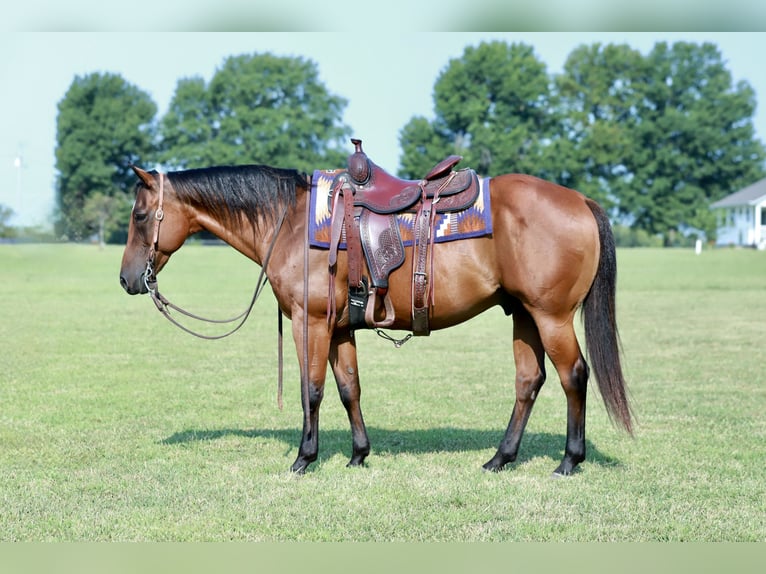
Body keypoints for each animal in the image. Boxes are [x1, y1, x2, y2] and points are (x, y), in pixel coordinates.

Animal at [119, 158, 633, 477]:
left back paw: (569, 461)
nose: (127, 279)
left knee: (574, 376)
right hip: (524, 314)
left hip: (551, 316)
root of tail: (580, 201)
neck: (291, 221)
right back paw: (500, 459)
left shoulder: (312, 322)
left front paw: (304, 458)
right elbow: (349, 388)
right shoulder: (340, 327)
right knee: (529, 381)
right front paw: (358, 455)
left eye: (141, 215)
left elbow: (312, 390)